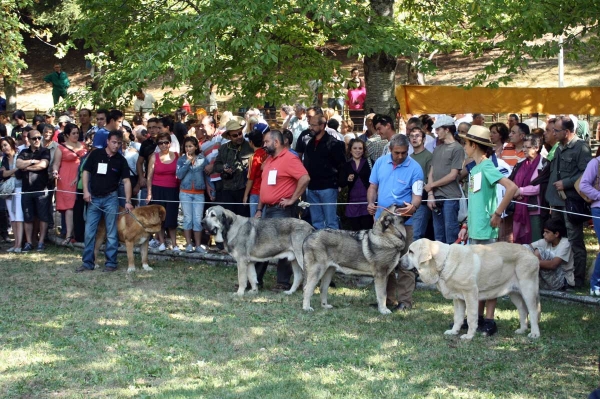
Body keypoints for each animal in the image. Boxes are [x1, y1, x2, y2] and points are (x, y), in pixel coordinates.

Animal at [400, 239, 540, 340]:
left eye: (411, 251)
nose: (399, 262)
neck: (443, 262)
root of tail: (531, 252)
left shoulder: (470, 294)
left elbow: (472, 317)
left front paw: (469, 336)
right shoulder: (458, 299)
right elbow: (458, 317)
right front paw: (454, 331)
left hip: (528, 289)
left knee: (533, 311)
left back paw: (534, 333)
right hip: (514, 293)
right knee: (523, 310)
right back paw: (522, 330)